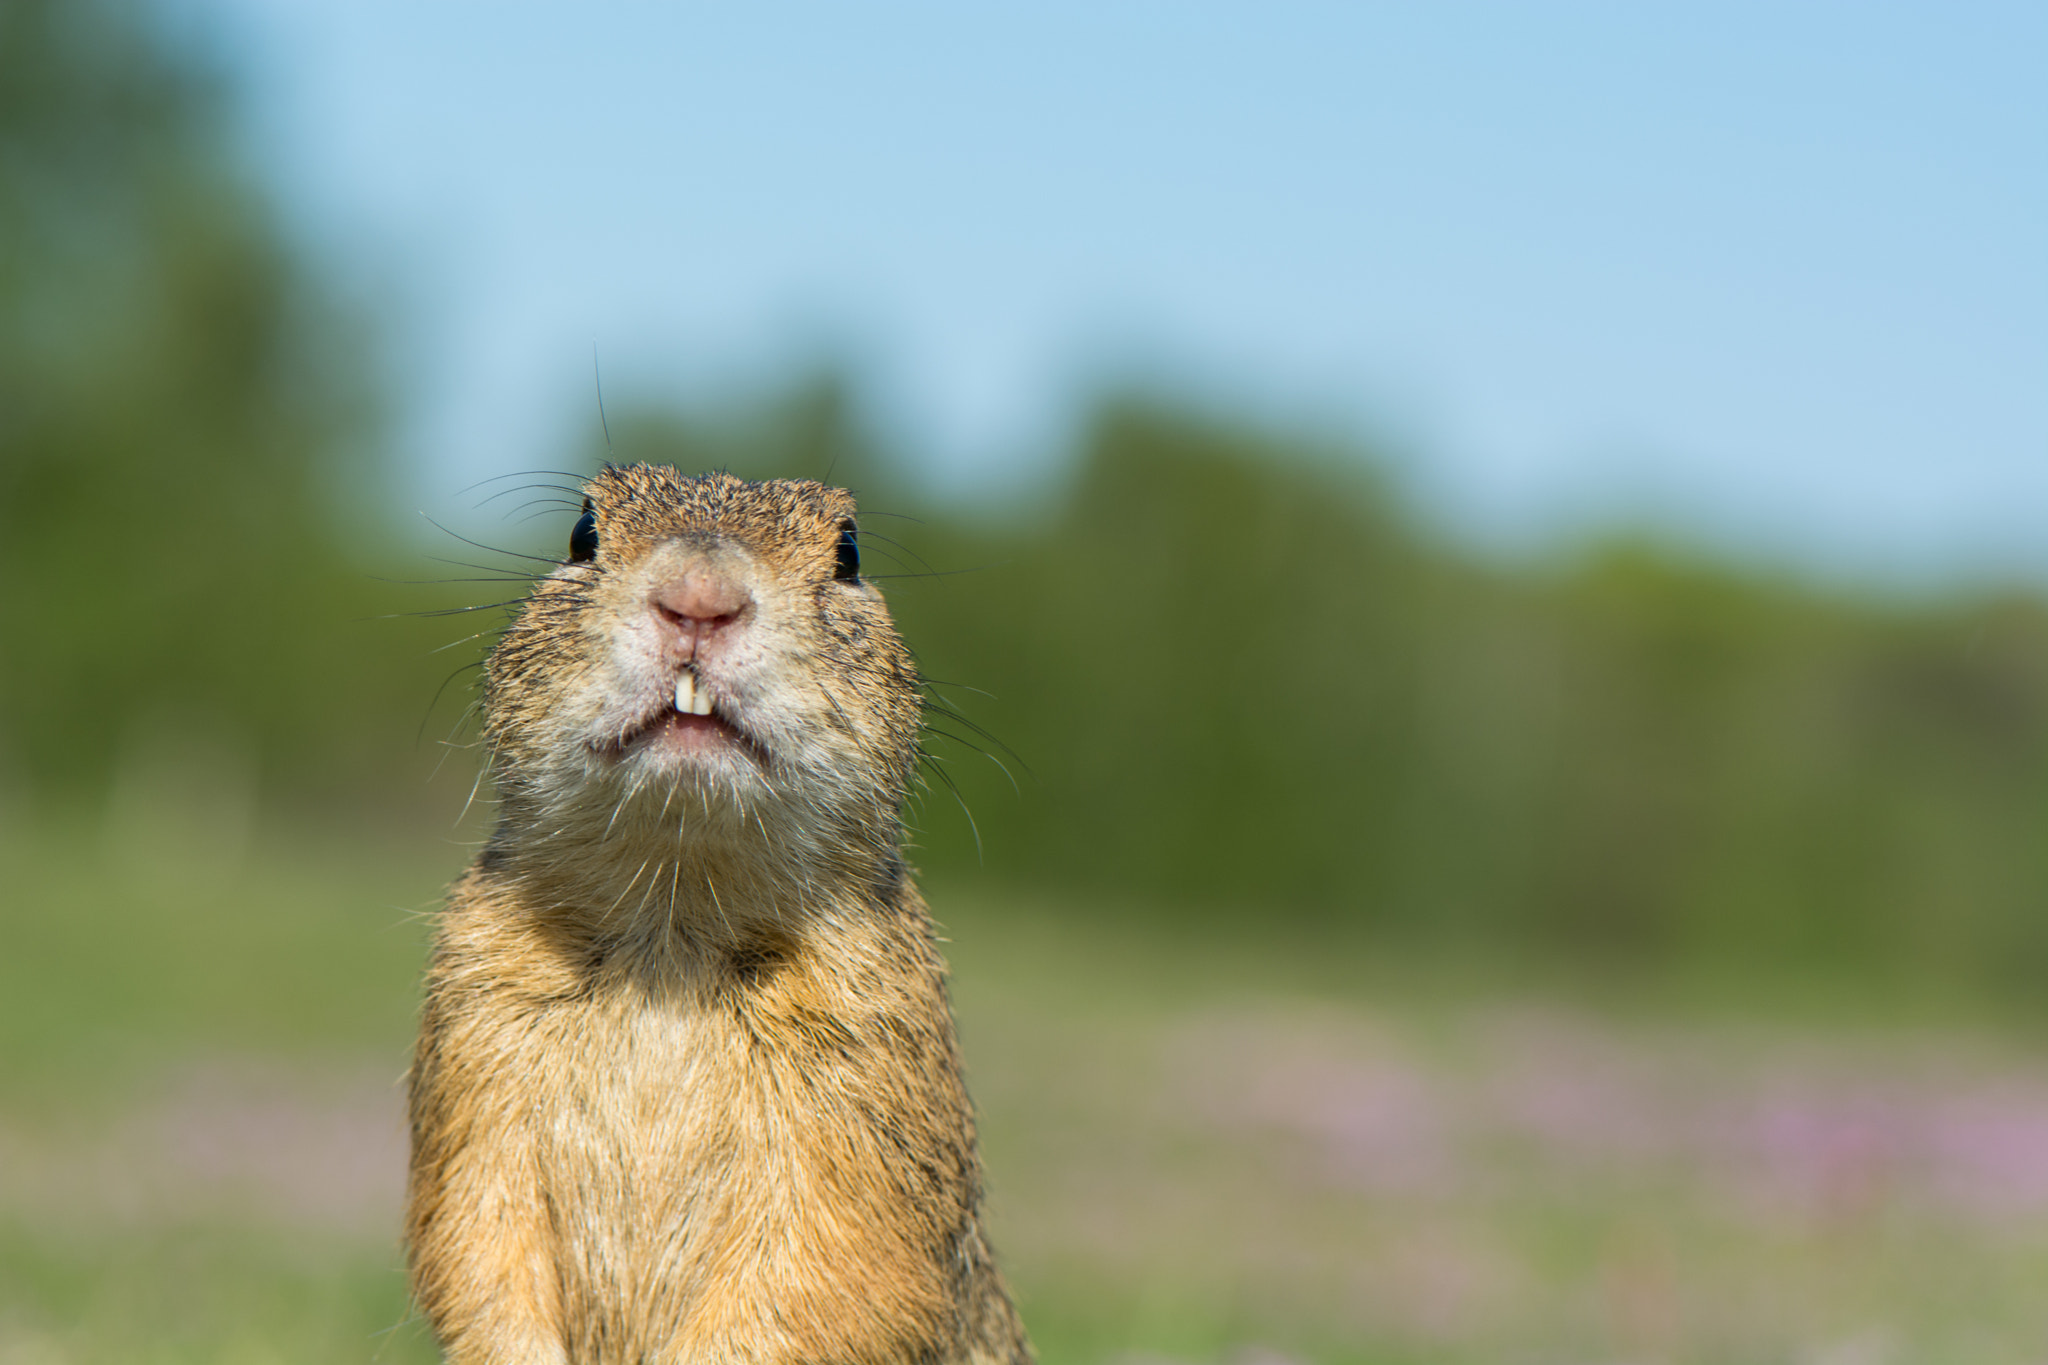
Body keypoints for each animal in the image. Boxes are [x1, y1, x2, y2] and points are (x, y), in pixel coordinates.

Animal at [405, 465, 1032, 1364]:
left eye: (849, 553)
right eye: (581, 534)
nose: (698, 597)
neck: (676, 917)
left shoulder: (872, 1065)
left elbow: (833, 1273)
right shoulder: (475, 1027)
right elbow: (473, 1238)